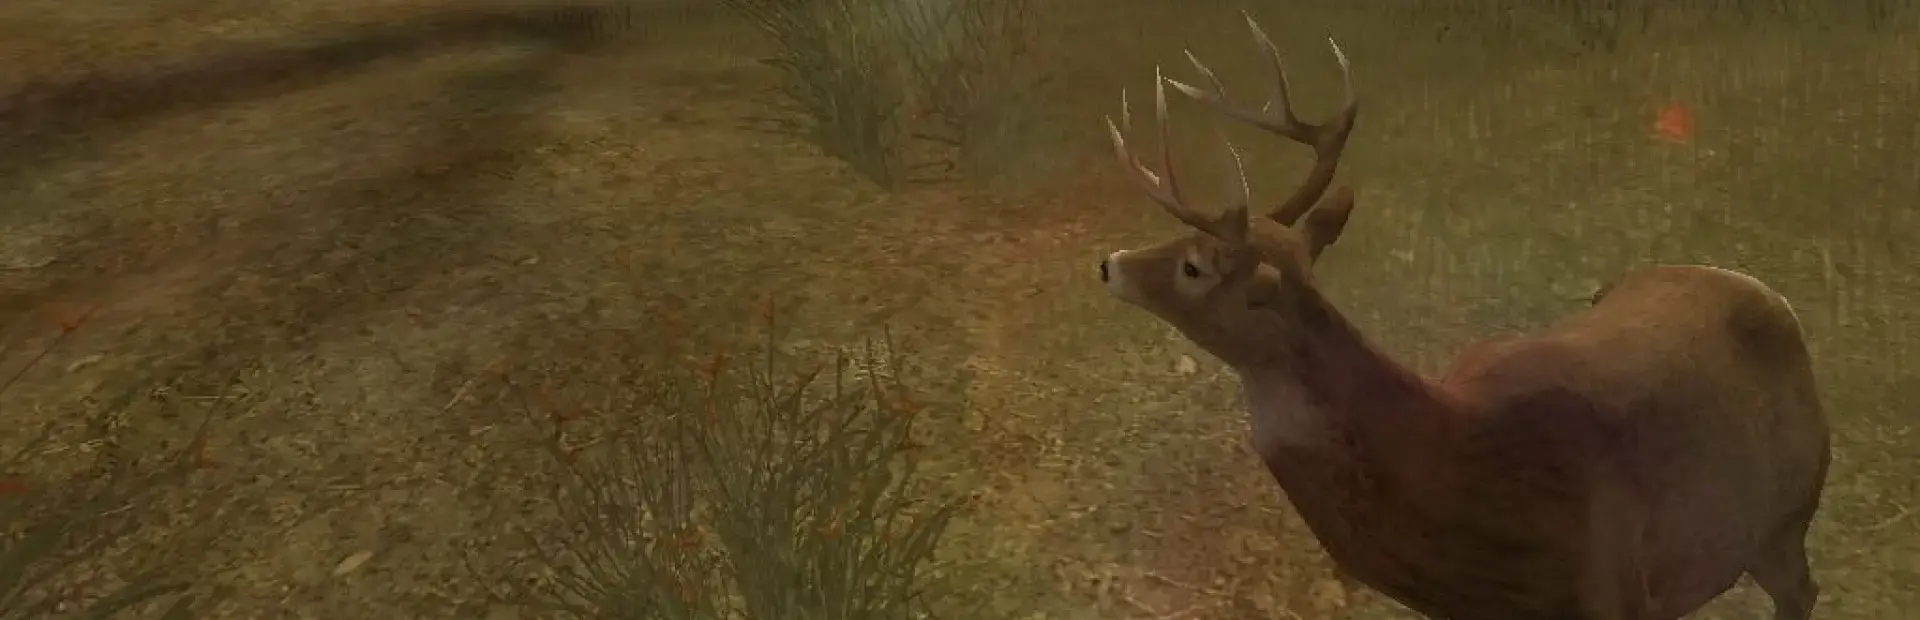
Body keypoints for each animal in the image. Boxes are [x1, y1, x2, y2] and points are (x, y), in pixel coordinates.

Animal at [1095, 14, 1831, 620]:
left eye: (1194, 266)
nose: (1110, 263)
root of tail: (1757, 287)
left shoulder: (1616, 590)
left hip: (1786, 515)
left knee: (1801, 590)